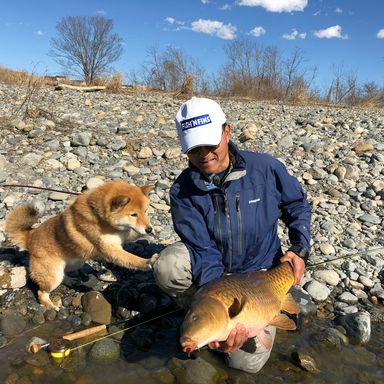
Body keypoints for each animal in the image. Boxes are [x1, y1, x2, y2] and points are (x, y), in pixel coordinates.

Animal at [4, 180, 158, 308]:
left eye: (145, 211)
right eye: (133, 214)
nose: (149, 229)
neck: (100, 217)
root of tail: (30, 237)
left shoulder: (123, 235)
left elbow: (133, 235)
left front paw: (154, 230)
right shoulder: (110, 249)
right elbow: (131, 259)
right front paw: (148, 261)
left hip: (74, 262)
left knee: (64, 274)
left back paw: (69, 280)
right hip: (53, 275)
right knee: (41, 292)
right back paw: (50, 305)